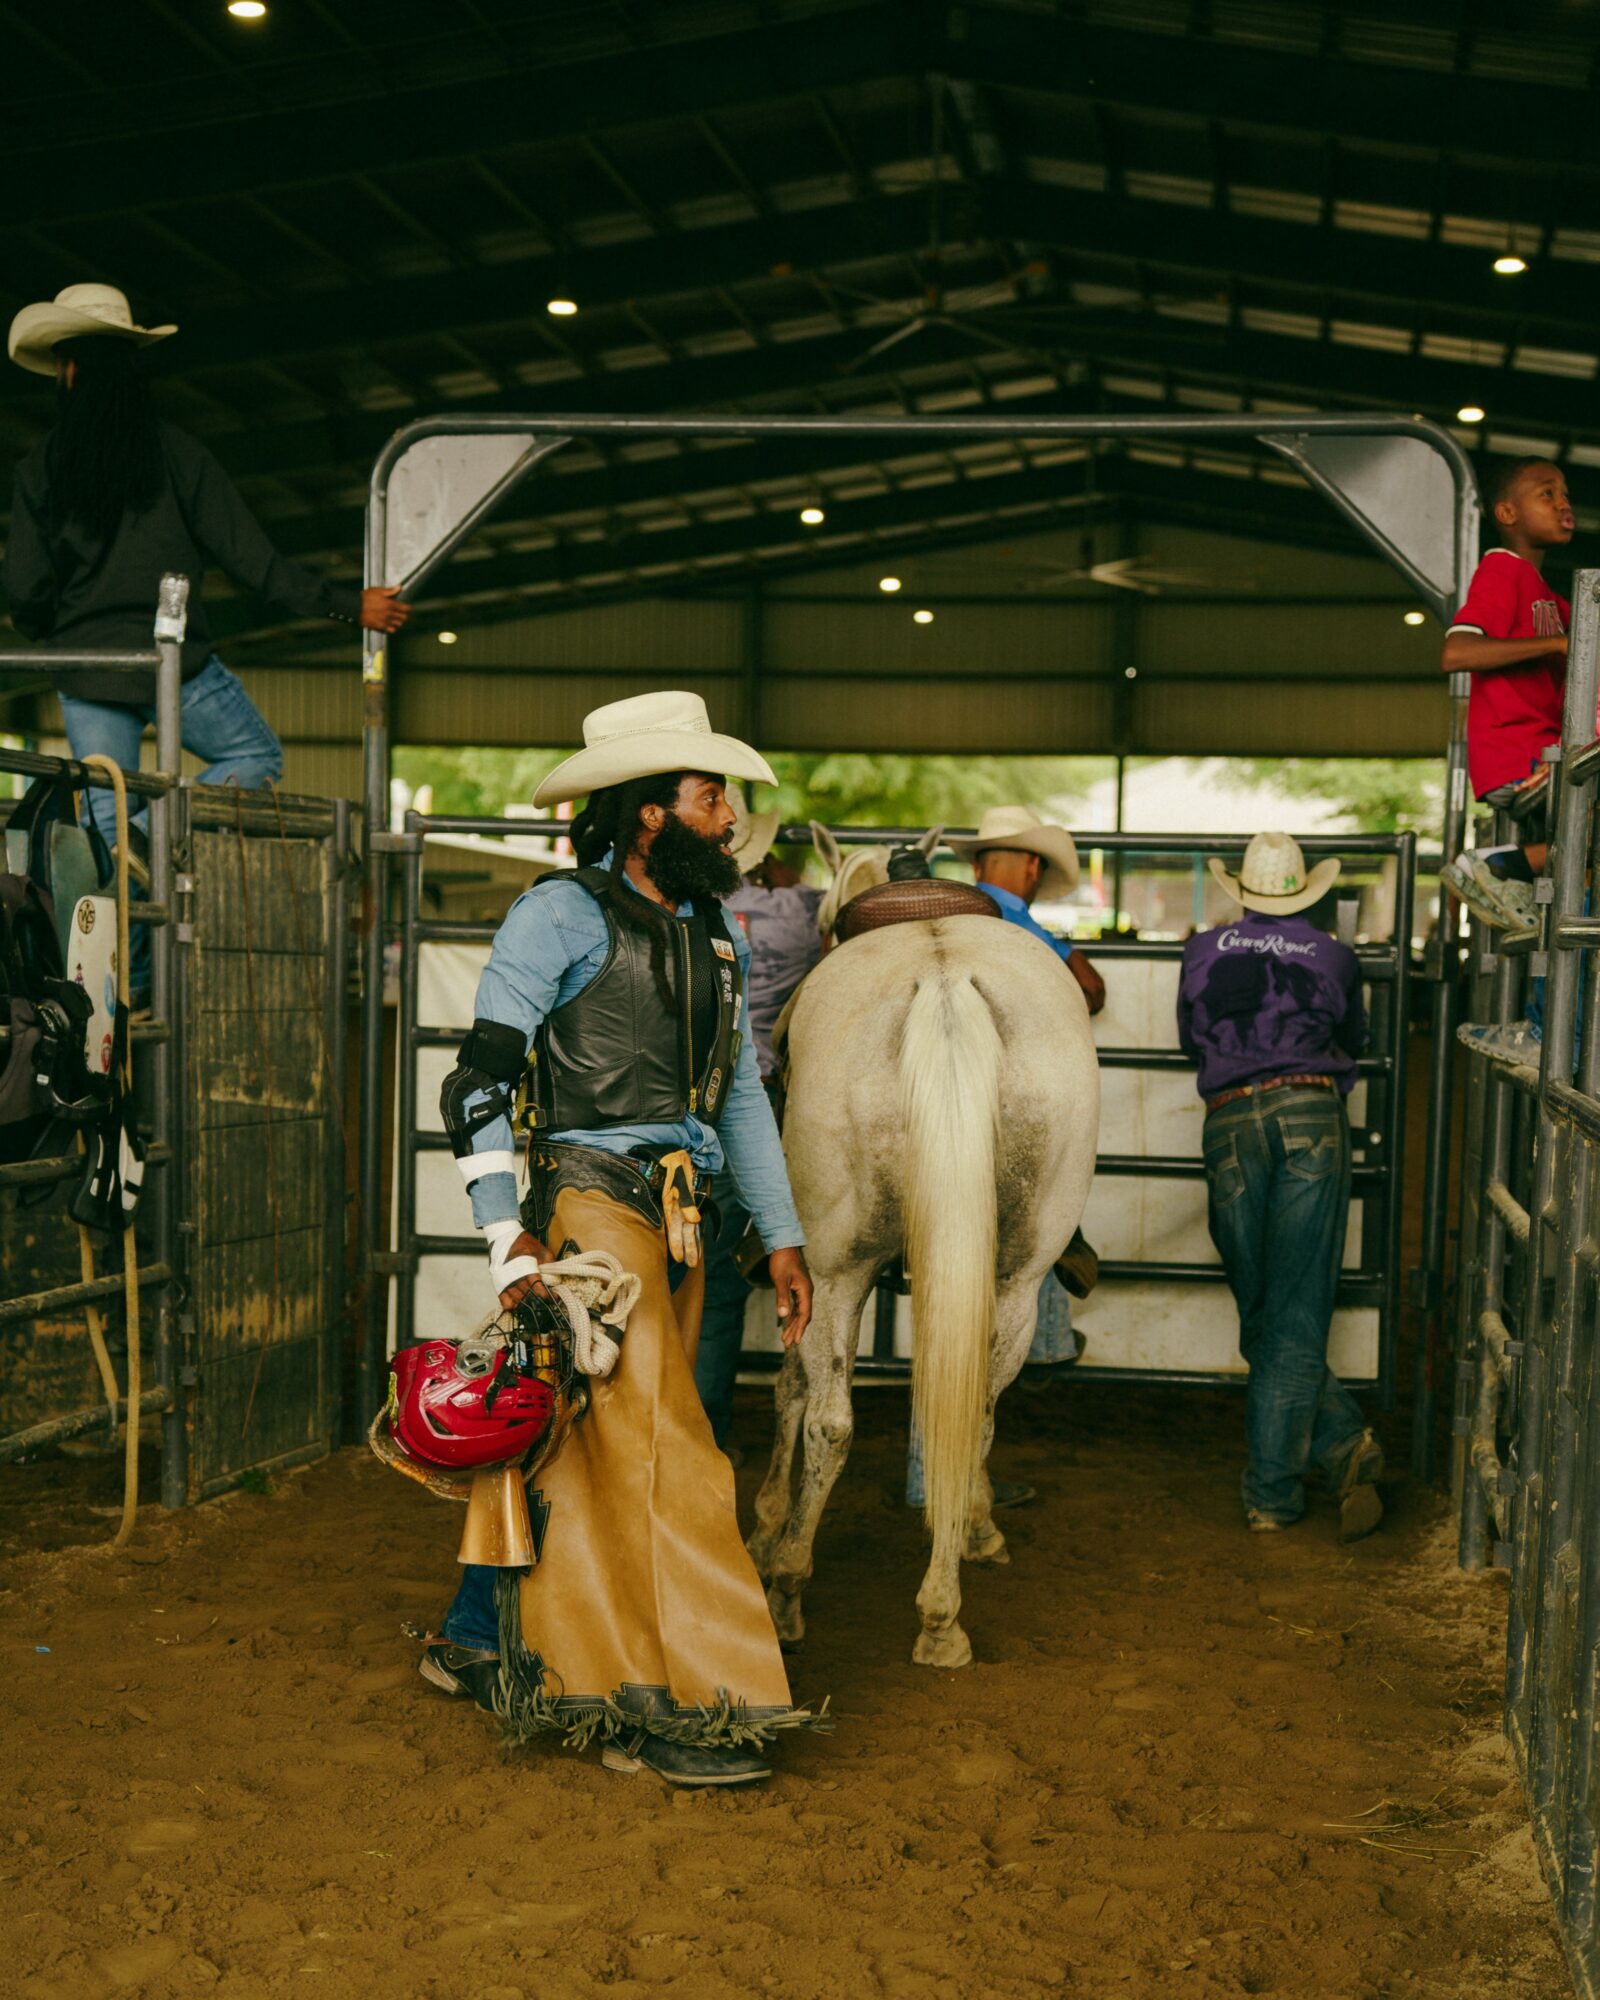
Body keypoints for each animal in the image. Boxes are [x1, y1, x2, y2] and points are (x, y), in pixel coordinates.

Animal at [747, 834, 1100, 1668]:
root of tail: (945, 984)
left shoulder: (810, 1273)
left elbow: (792, 1389)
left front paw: (769, 1522)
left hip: (837, 1269)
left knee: (831, 1421)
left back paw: (789, 1589)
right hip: (1015, 1275)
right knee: (974, 1414)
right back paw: (943, 1615)